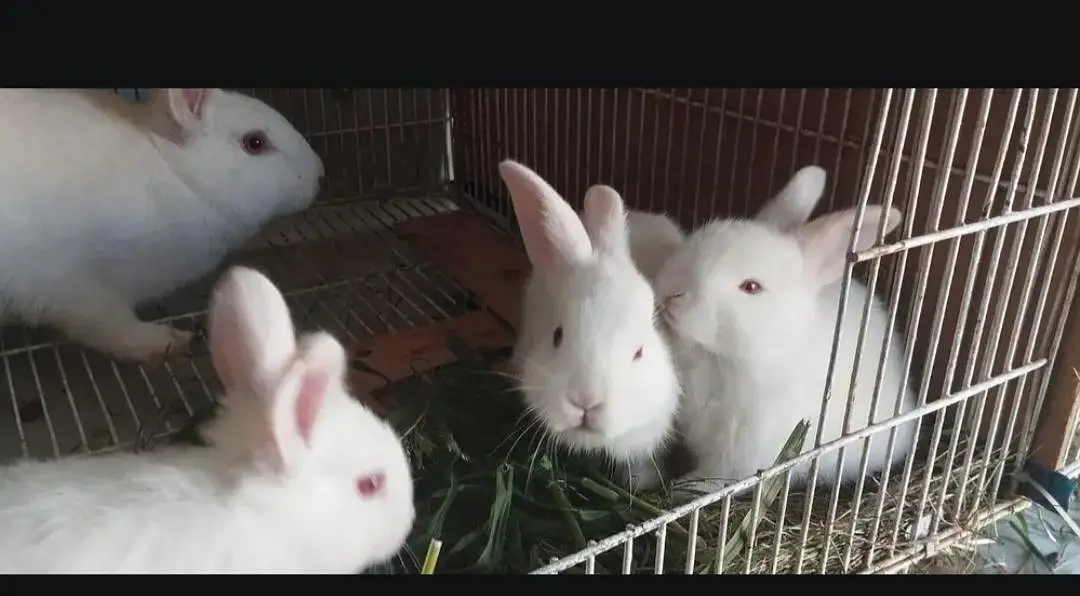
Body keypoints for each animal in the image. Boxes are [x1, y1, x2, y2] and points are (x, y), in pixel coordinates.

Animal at [0, 88, 325, 363]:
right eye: (255, 142)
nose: (320, 174)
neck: (179, 177)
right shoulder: (75, 290)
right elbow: (114, 327)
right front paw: (169, 340)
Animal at [654, 165, 919, 501]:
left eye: (751, 286)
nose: (670, 291)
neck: (723, 360)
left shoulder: (740, 455)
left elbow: (714, 481)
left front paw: (681, 488)